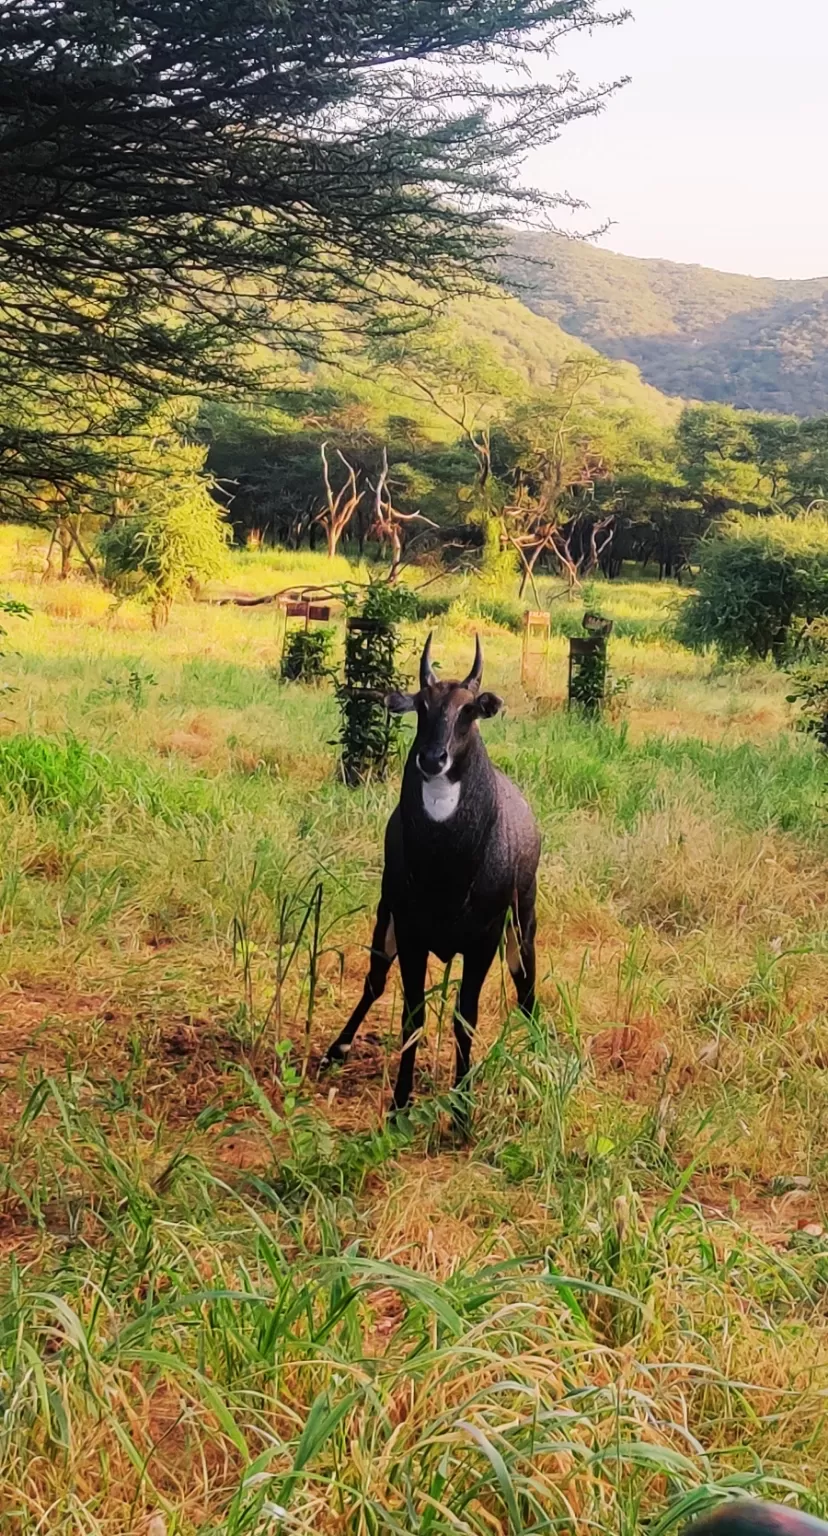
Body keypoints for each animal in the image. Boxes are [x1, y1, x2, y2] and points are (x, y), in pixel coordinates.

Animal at [321, 635, 540, 1118]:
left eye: (469, 709)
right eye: (422, 705)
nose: (432, 758)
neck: (448, 869)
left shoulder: (482, 940)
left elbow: (465, 1018)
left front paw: (461, 1110)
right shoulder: (411, 931)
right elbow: (413, 1016)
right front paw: (400, 1103)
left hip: (521, 924)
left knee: (525, 985)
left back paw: (542, 1049)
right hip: (386, 918)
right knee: (374, 980)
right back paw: (336, 1050)